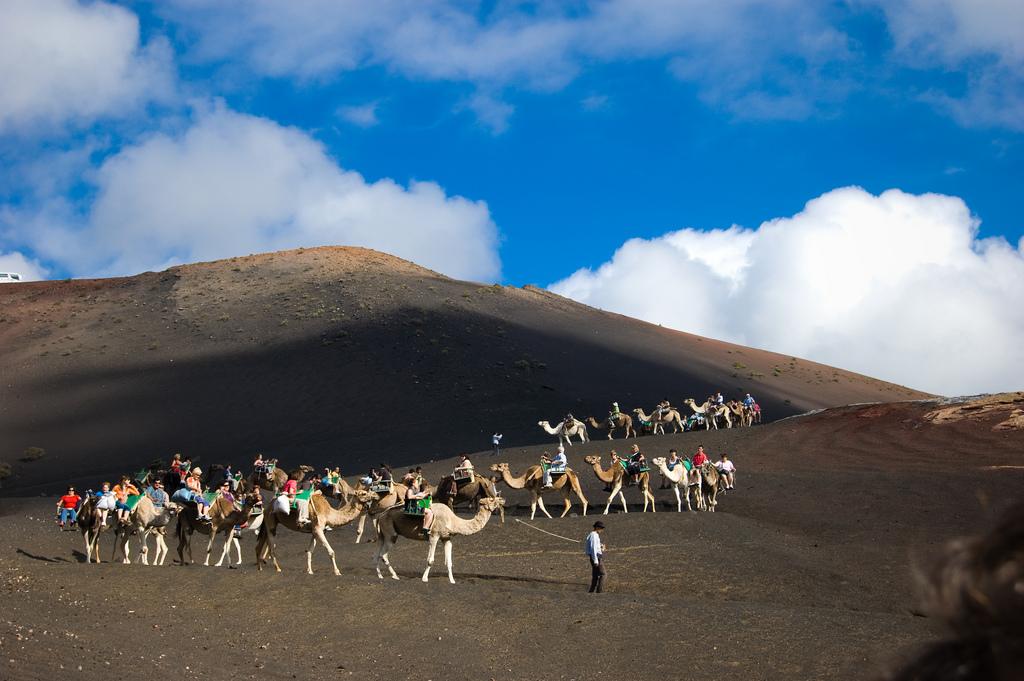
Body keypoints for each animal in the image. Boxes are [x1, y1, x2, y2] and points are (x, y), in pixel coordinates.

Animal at [374, 493, 505, 585]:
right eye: (491, 499)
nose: (502, 499)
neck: (453, 521)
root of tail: (381, 515)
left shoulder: (447, 538)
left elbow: (449, 562)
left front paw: (452, 581)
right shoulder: (434, 535)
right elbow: (430, 560)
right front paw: (424, 579)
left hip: (383, 535)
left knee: (377, 554)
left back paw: (381, 576)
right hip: (390, 533)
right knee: (384, 555)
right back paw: (394, 576)